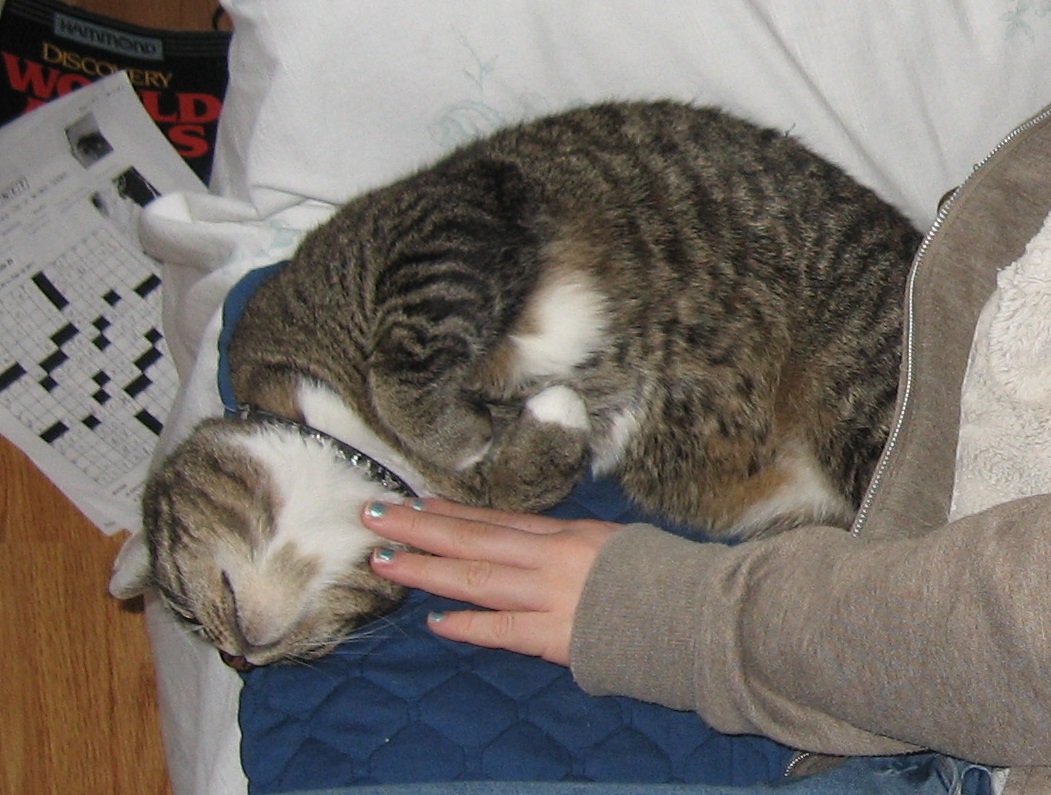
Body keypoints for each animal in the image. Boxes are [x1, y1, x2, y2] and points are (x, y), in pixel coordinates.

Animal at [129, 102, 920, 668]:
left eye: (183, 605)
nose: (234, 657)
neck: (351, 451)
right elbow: (525, 479)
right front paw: (546, 418)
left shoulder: (438, 223)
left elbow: (401, 363)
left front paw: (453, 428)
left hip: (865, 399)